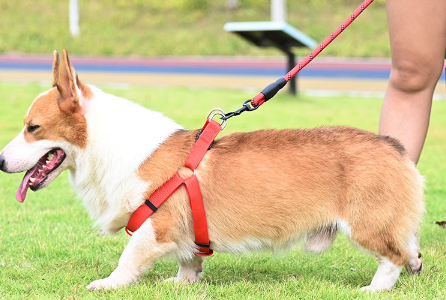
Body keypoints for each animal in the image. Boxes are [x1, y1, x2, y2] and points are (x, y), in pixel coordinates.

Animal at [0, 50, 426, 292]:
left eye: (32, 127)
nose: (1, 162)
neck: (107, 147)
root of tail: (393, 147)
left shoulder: (155, 225)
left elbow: (128, 259)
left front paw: (108, 284)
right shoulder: (185, 232)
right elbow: (189, 260)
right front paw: (182, 283)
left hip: (366, 225)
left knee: (392, 257)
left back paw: (374, 288)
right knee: (409, 246)